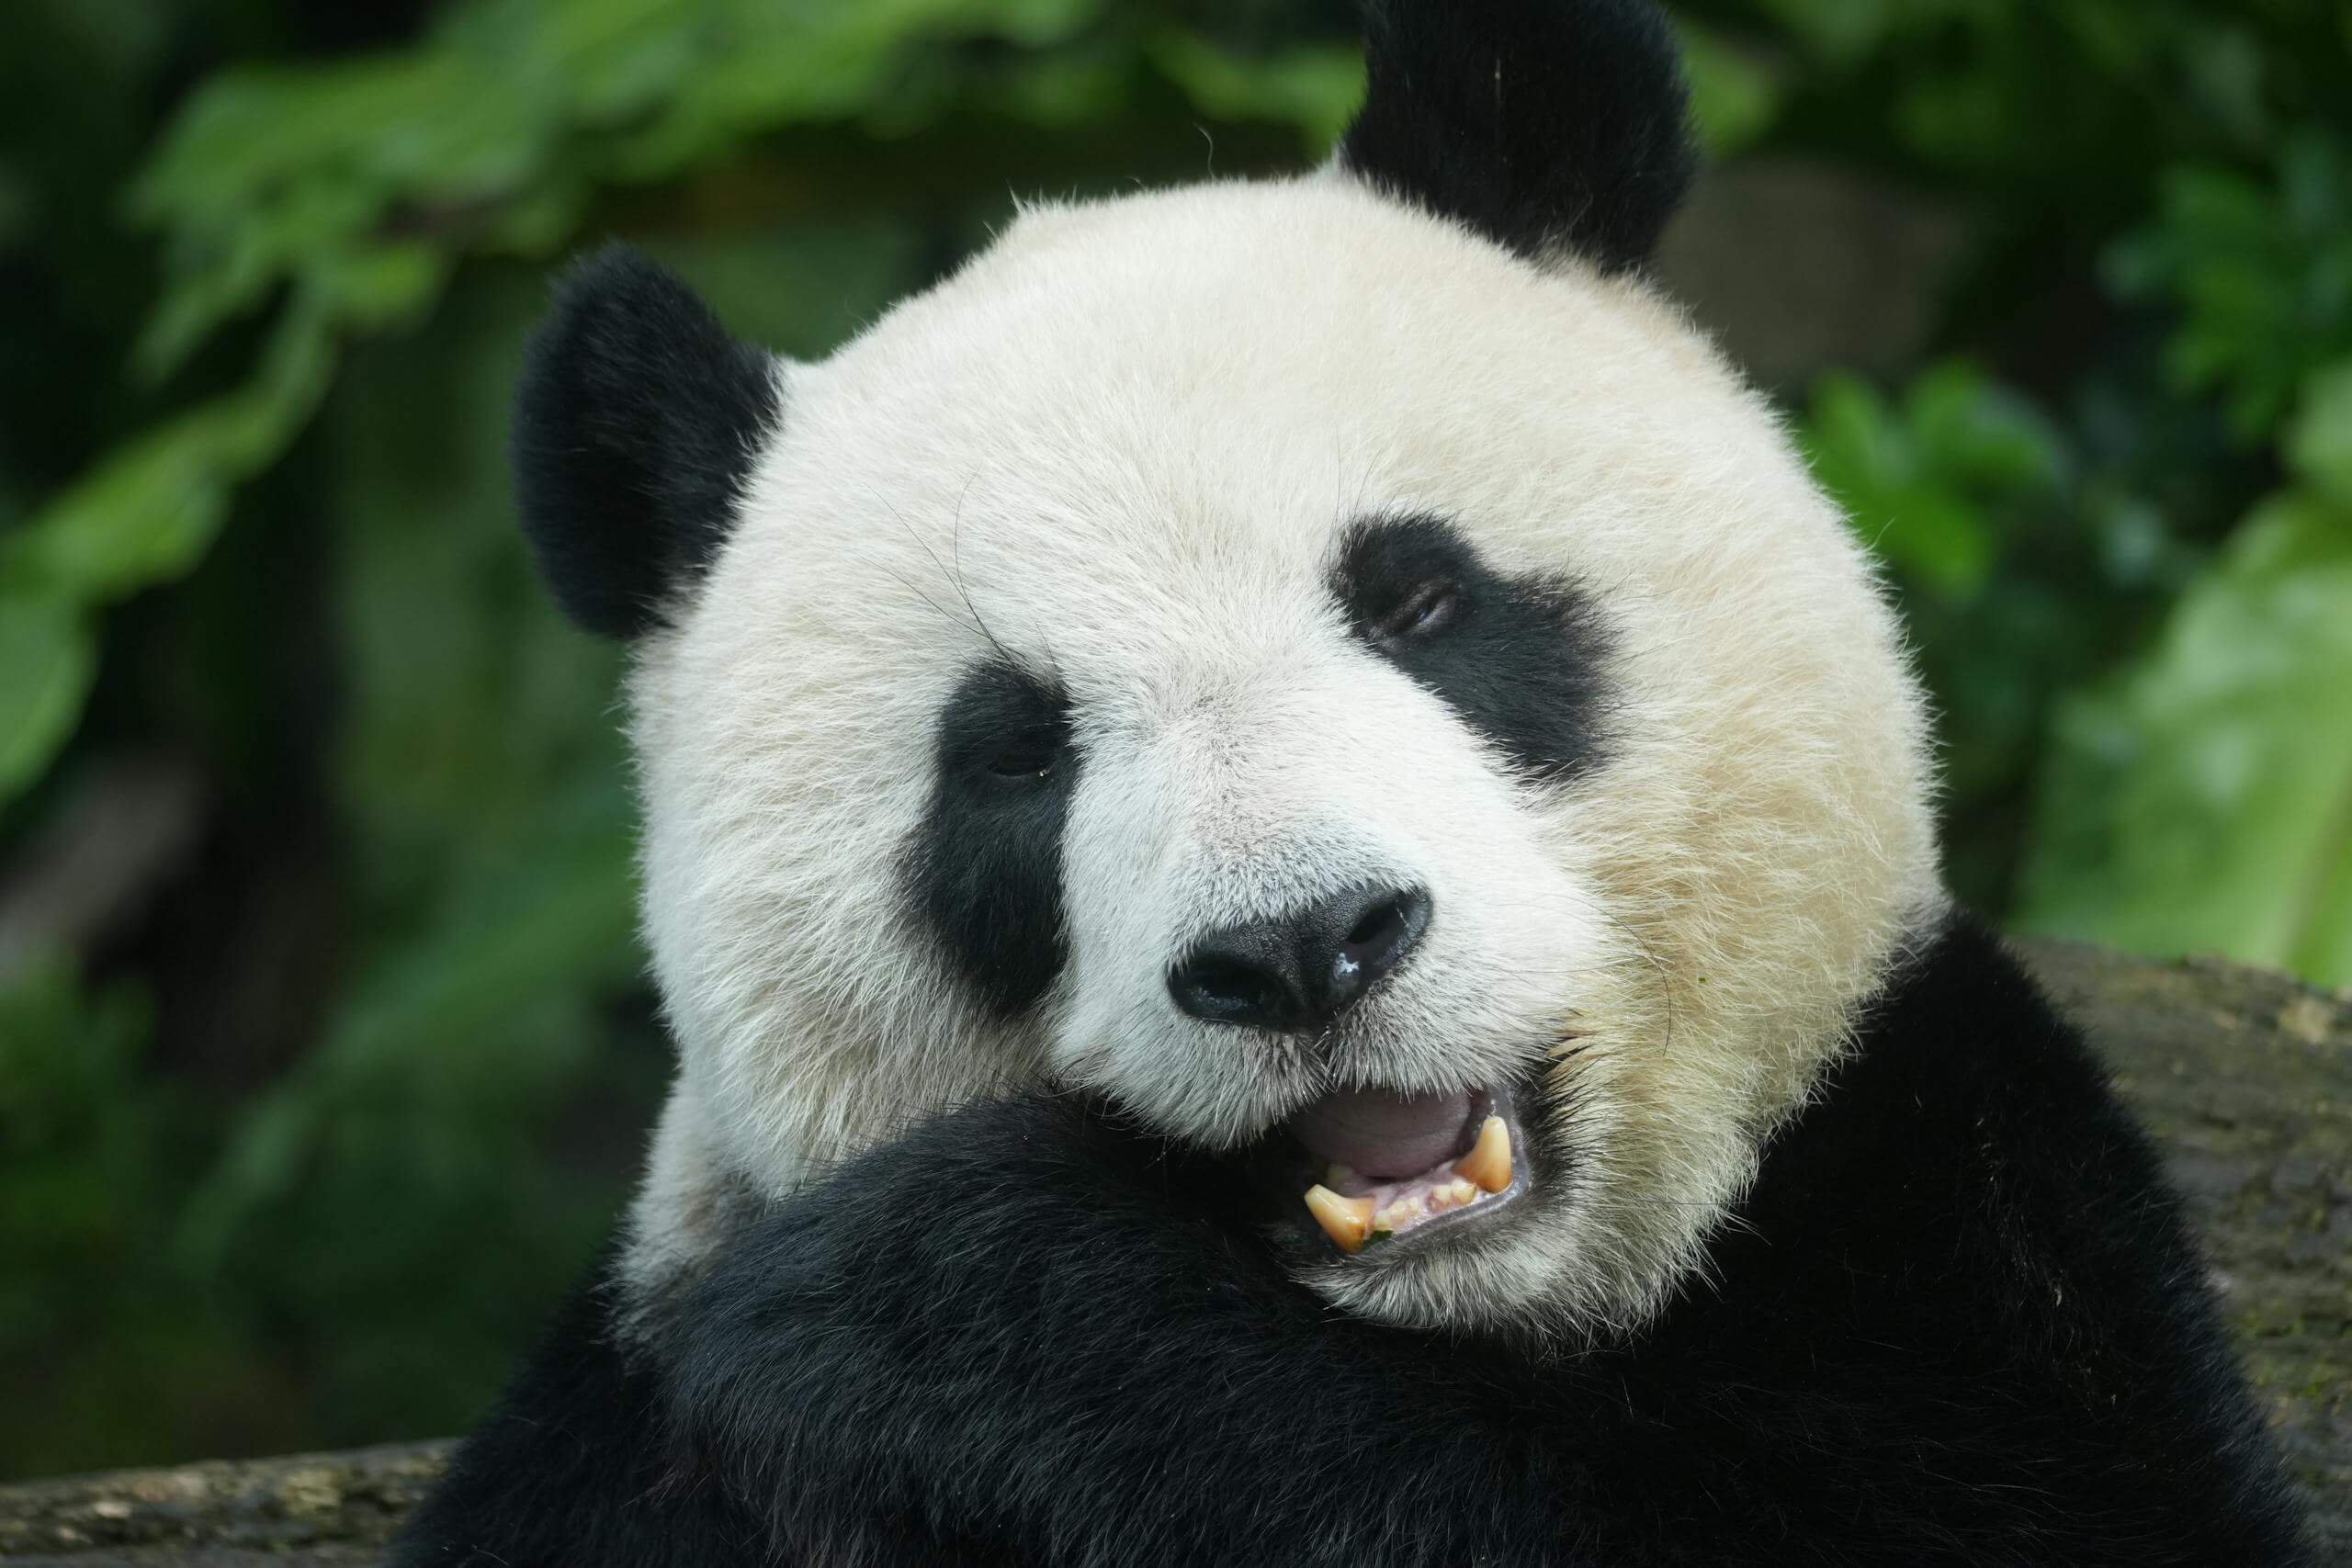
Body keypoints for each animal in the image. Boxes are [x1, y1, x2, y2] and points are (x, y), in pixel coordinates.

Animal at [393, 1, 2312, 1563]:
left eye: (1421, 602)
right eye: (1011, 753)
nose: (1304, 947)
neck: (1460, 1324)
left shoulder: (1951, 1212)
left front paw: (952, 1297)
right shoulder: (621, 1409)